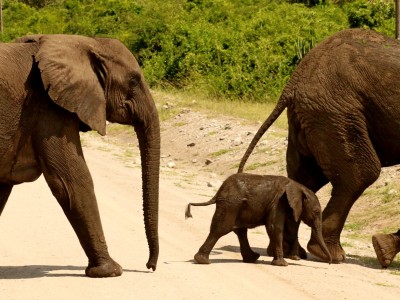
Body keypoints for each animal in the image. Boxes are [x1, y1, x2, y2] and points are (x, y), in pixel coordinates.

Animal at [0, 34, 159, 276]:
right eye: (133, 81)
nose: (150, 266)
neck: (87, 43)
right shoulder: (49, 108)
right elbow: (72, 180)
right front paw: (110, 271)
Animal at [186, 172, 332, 266]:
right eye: (316, 212)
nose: (330, 263)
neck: (298, 187)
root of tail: (218, 193)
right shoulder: (278, 203)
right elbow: (274, 227)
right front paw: (282, 264)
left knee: (240, 231)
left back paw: (252, 258)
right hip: (231, 204)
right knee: (221, 229)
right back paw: (203, 261)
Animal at [238, 29, 400, 266]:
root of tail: (297, 76)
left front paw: (383, 251)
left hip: (312, 116)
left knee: (305, 177)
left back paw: (290, 252)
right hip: (334, 110)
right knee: (361, 173)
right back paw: (328, 254)